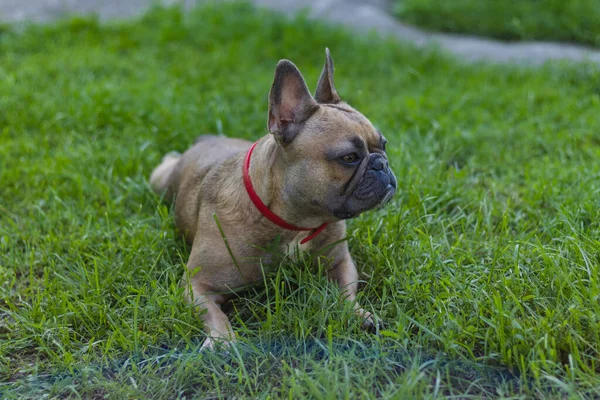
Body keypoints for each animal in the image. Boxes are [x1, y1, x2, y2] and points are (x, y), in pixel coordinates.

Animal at [150, 49, 396, 350]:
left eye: (383, 146)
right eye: (349, 158)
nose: (382, 165)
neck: (295, 221)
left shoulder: (340, 263)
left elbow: (346, 292)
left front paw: (358, 314)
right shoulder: (197, 284)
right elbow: (215, 314)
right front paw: (224, 341)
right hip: (160, 182)